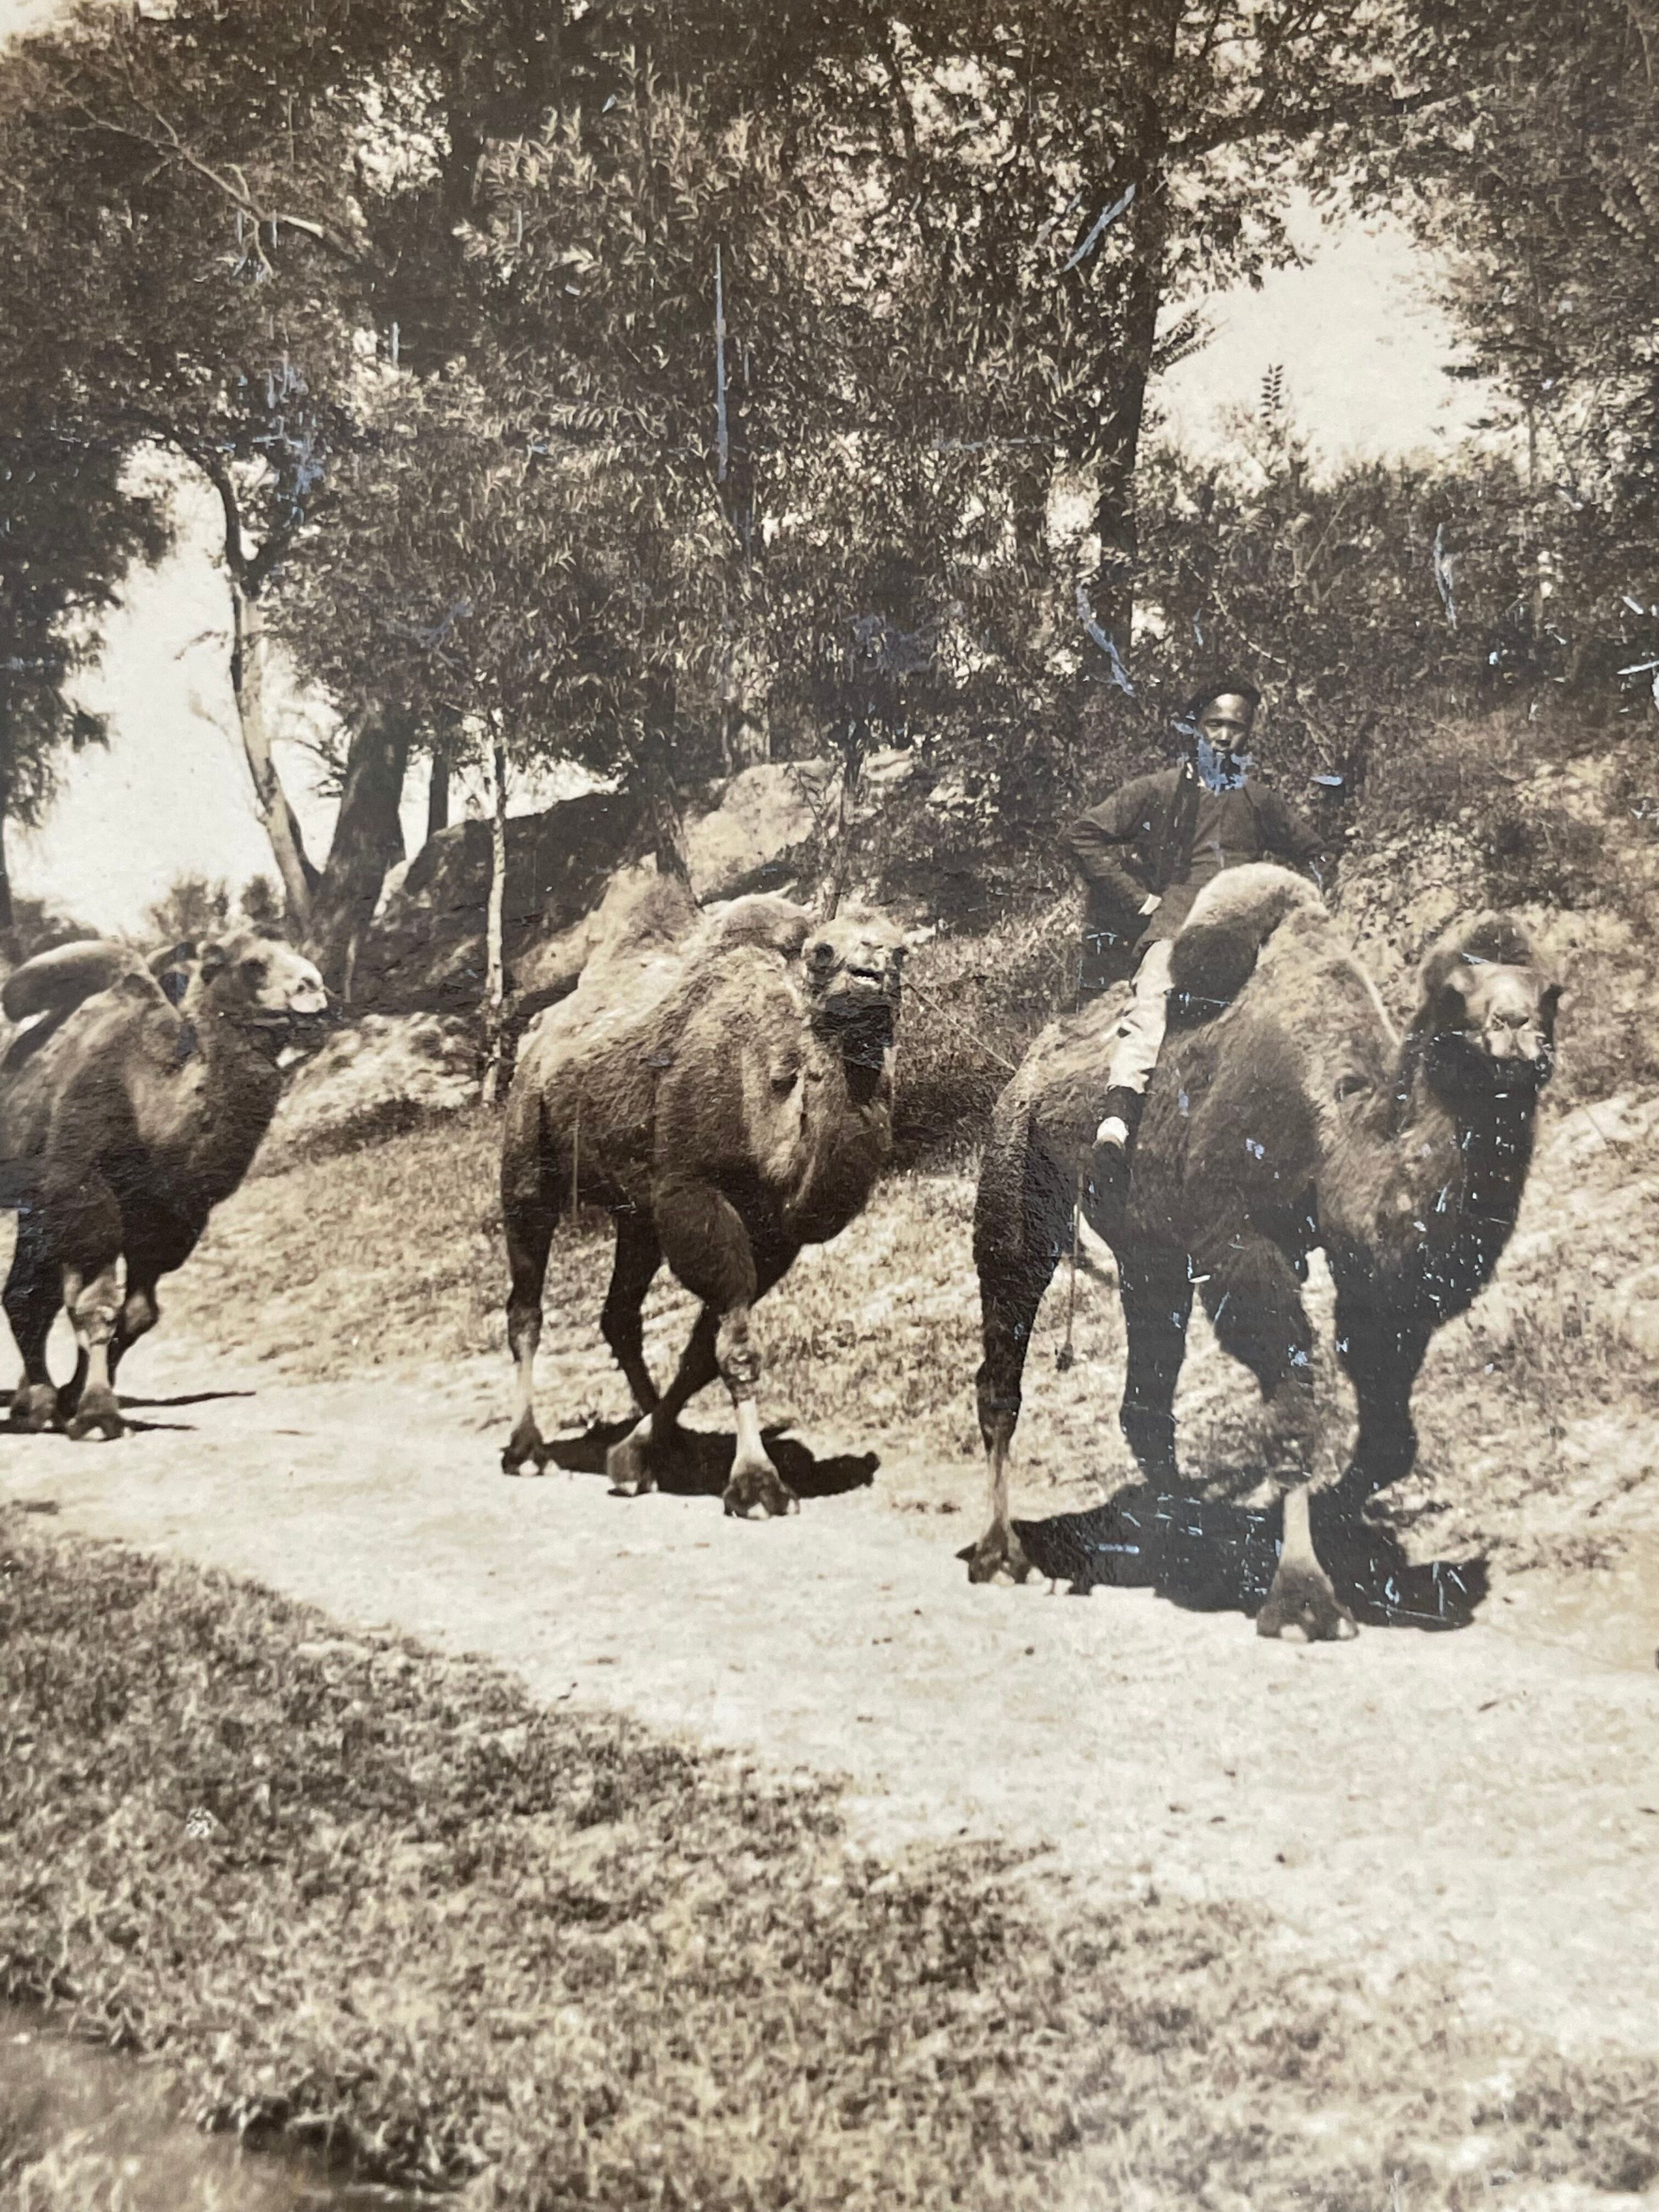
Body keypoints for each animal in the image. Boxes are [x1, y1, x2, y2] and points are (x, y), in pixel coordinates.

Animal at [0, 932, 327, 1438]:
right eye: (253, 964)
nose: (313, 987)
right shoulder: (84, 1194)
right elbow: (95, 1306)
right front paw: (97, 1415)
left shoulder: (168, 1217)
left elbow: (137, 1316)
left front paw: (76, 1399)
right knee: (33, 1297)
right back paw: (35, 1403)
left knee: (31, 1295)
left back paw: (32, 1403)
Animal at [500, 875, 907, 1518]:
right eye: (822, 953)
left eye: (902, 952)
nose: (870, 977)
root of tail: (536, 1037)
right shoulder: (694, 1193)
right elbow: (734, 1346)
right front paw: (758, 1486)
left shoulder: (773, 1235)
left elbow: (701, 1351)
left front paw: (637, 1455)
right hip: (526, 1152)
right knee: (526, 1306)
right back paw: (528, 1450)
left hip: (636, 1214)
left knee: (619, 1315)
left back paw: (665, 1441)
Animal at [970, 863, 1561, 1639]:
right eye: (1453, 995)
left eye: (1552, 991)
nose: (1515, 1032)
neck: (1336, 1130)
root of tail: (1031, 1063)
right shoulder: (1239, 1238)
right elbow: (1291, 1396)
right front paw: (1303, 1604)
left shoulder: (1369, 1274)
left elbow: (1388, 1431)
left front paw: (1336, 1530)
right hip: (1016, 1166)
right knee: (1004, 1346)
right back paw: (1001, 1552)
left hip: (1149, 1253)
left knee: (1147, 1395)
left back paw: (1182, 1543)